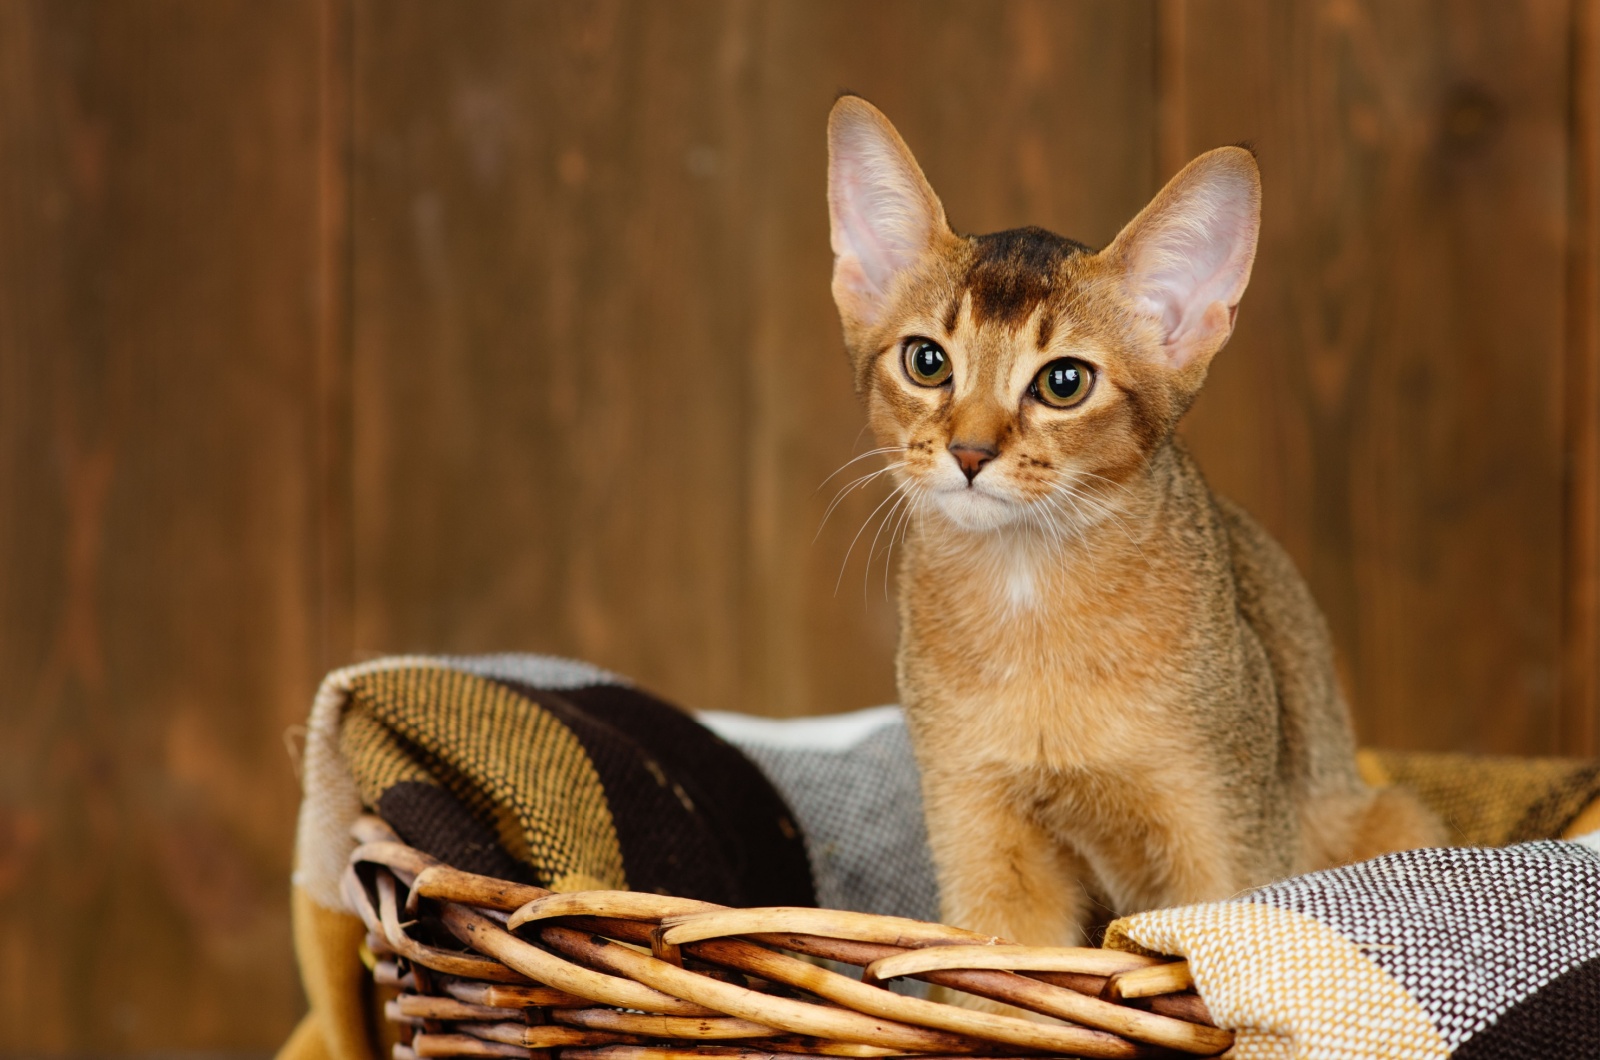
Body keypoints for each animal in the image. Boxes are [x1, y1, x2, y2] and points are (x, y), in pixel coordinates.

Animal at [825, 95, 1440, 973]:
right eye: (927, 361)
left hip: (1392, 817)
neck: (1034, 608)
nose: (970, 452)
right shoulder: (982, 841)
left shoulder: (1223, 841)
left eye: (1064, 382)